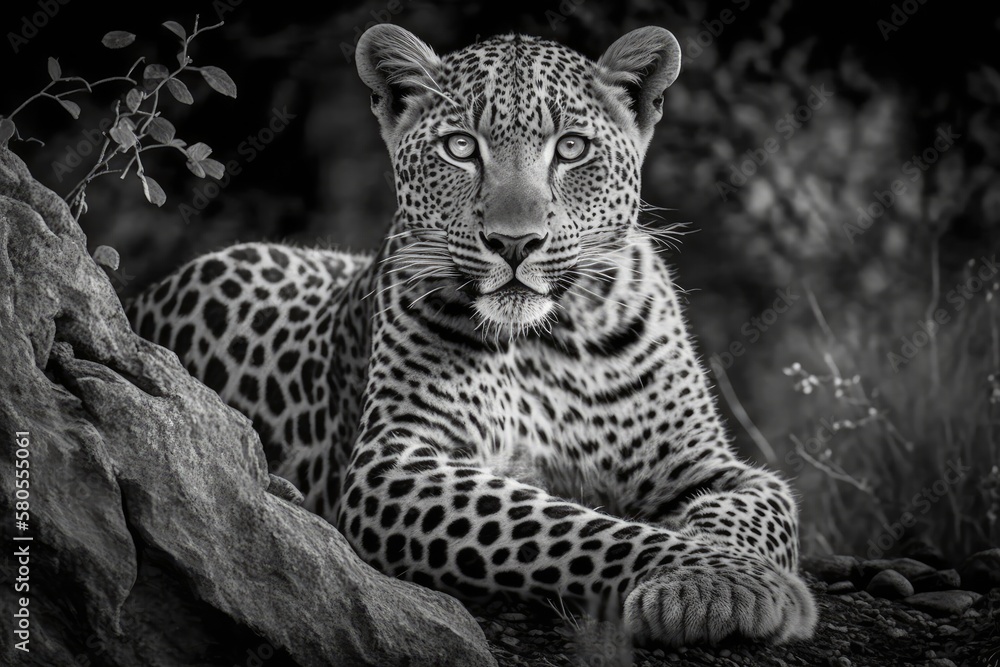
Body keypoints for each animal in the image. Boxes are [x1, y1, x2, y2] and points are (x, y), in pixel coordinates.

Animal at [125, 26, 816, 648]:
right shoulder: (396, 461)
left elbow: (757, 510)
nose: (515, 242)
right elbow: (570, 527)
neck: (560, 338)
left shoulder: (710, 466)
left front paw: (722, 574)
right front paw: (724, 582)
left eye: (571, 149)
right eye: (461, 147)